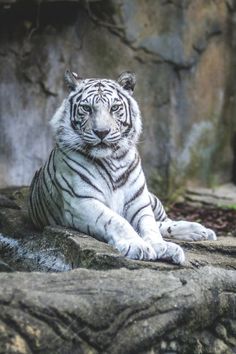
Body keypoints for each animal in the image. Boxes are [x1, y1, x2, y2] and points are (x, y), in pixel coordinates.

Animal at [28, 70, 217, 262]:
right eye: (87, 108)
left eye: (114, 108)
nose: (102, 132)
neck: (113, 160)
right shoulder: (81, 200)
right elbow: (117, 221)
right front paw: (137, 245)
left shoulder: (139, 202)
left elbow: (150, 226)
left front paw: (162, 247)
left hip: (152, 198)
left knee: (164, 222)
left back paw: (200, 230)